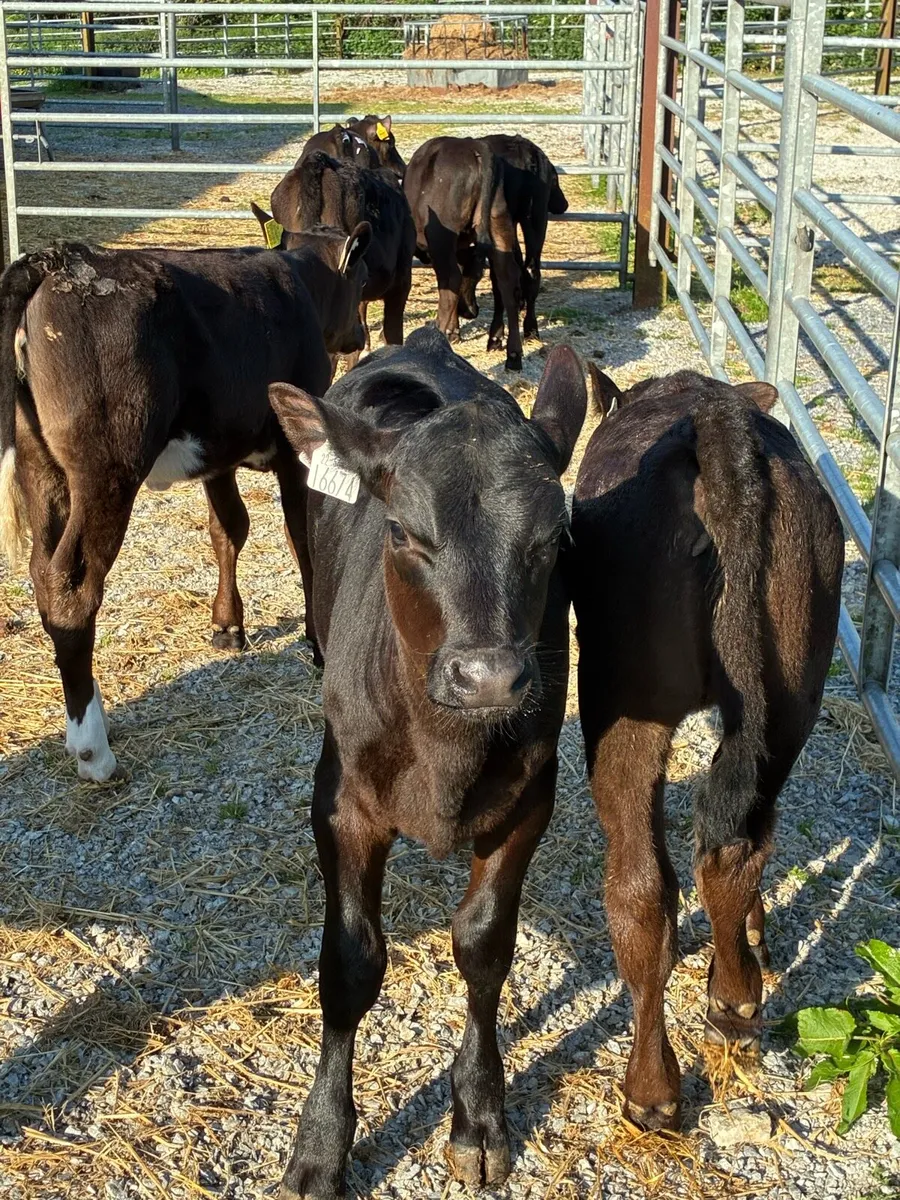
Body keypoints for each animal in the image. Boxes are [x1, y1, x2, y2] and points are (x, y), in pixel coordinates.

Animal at [0, 224, 371, 782]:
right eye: (363, 279)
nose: (362, 337)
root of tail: (58, 258)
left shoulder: (218, 453)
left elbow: (229, 530)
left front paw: (228, 627)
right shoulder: (294, 448)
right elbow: (299, 536)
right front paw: (315, 642)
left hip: (41, 468)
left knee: (42, 572)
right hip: (107, 468)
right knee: (72, 584)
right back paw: (93, 750)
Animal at [267, 327, 587, 1198]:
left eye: (553, 538)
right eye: (405, 532)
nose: (489, 677)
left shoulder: (531, 797)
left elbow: (483, 948)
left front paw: (478, 1116)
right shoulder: (340, 802)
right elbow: (350, 962)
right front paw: (320, 1143)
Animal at [403, 136, 526, 371]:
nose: (470, 310)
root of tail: (474, 146)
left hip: (441, 236)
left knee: (450, 279)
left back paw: (439, 333)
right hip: (499, 224)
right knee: (507, 281)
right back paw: (513, 355)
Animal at [483, 134, 568, 347]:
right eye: (555, 180)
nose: (564, 204)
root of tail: (523, 150)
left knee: (503, 276)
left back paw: (496, 336)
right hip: (536, 217)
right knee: (532, 270)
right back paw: (531, 329)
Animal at [569, 368, 843, 1131]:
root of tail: (716, 419)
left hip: (622, 704)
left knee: (640, 886)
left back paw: (651, 1090)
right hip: (791, 685)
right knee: (738, 842)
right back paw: (736, 999)